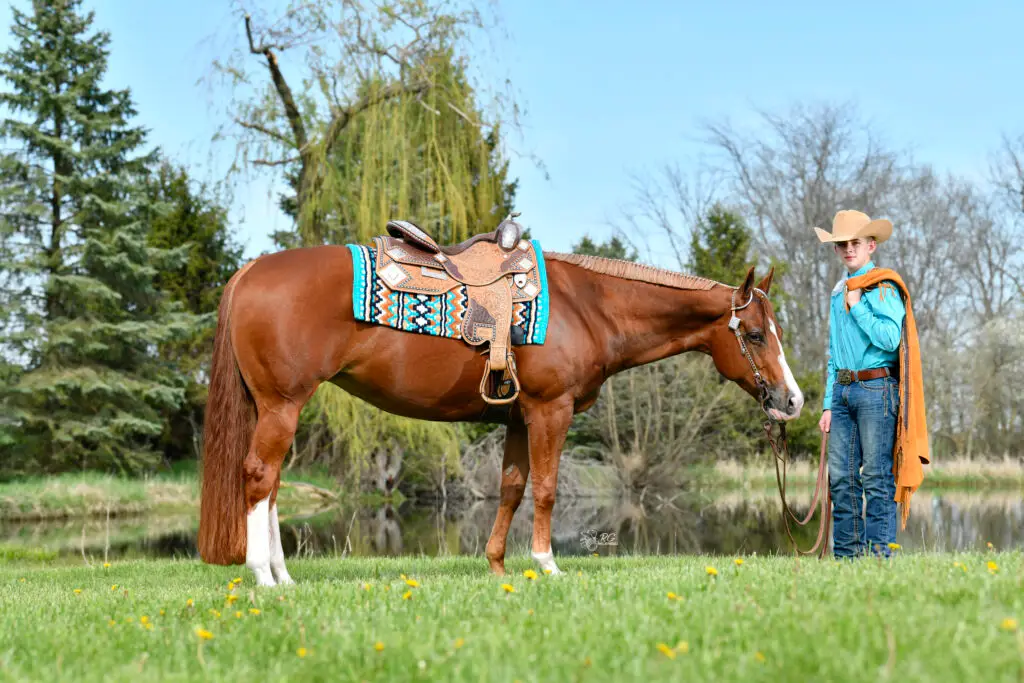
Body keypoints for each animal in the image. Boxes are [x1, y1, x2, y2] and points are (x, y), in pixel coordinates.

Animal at [196, 243, 804, 586]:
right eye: (754, 334)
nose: (793, 400)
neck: (589, 306)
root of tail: (250, 271)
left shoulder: (517, 418)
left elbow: (511, 488)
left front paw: (497, 566)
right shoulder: (551, 412)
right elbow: (548, 490)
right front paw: (548, 564)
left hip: (277, 408)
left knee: (273, 487)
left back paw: (284, 576)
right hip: (282, 405)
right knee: (260, 478)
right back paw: (263, 577)